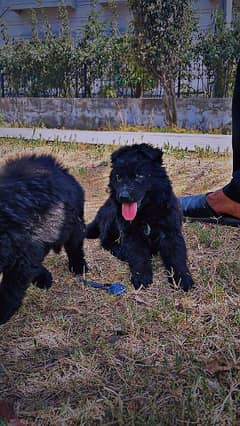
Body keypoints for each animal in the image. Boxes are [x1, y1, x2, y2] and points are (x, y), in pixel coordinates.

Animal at [87, 145, 194, 292]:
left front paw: (182, 279)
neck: (147, 213)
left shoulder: (170, 232)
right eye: (119, 177)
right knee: (105, 240)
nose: (123, 196)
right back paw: (122, 252)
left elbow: (177, 257)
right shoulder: (132, 234)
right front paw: (141, 277)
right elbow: (138, 256)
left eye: (139, 176)